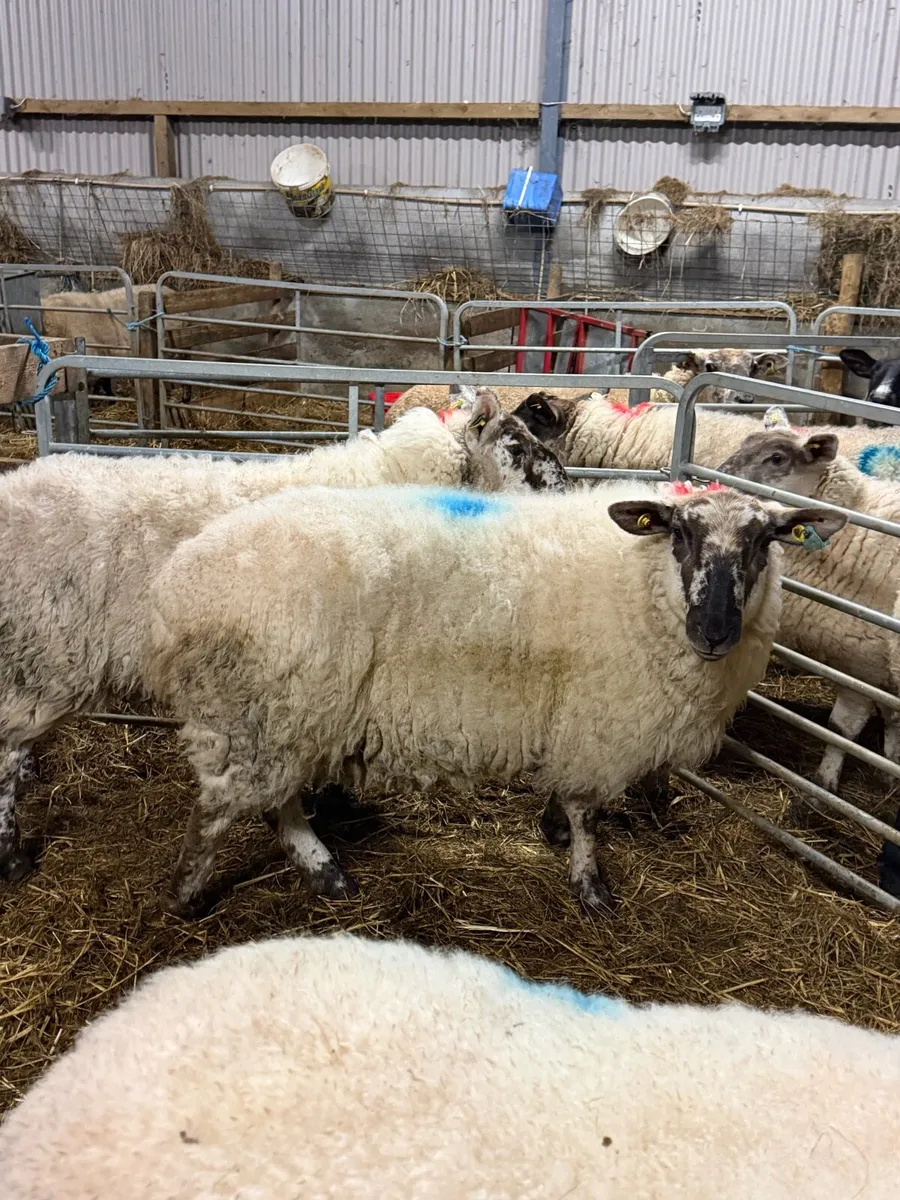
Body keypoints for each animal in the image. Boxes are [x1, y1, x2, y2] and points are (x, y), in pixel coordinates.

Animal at [141, 480, 843, 916]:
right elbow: (589, 811)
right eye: (679, 535)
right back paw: (187, 895)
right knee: (221, 808)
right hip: (256, 709)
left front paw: (554, 828)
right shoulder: (595, 722)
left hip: (283, 714)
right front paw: (589, 885)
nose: (714, 630)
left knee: (274, 801)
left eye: (765, 542)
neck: (641, 585)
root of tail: (178, 578)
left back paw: (322, 869)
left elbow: (569, 799)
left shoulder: (576, 723)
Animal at [716, 421, 900, 799]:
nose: (719, 476)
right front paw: (888, 767)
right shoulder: (877, 670)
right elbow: (890, 718)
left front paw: (825, 782)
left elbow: (841, 729)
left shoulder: (860, 665)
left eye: (776, 458)